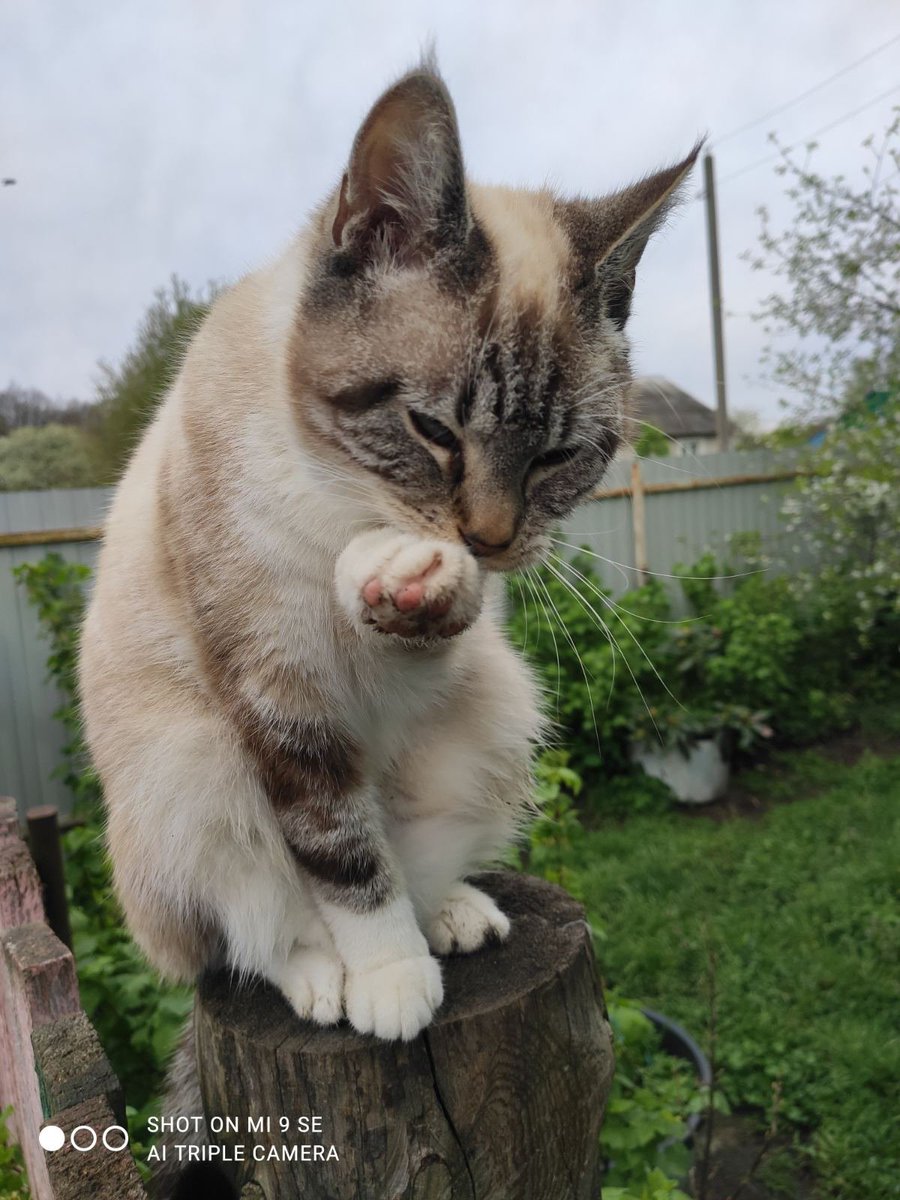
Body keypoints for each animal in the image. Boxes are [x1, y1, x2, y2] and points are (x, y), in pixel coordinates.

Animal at [77, 60, 700, 1046]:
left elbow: (415, 634)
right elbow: (343, 861)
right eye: (433, 431)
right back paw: (324, 979)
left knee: (416, 859)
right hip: (189, 768)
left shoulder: (423, 659)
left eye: (559, 456)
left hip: (496, 705)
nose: (489, 539)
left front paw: (410, 582)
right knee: (251, 931)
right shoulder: (279, 697)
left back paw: (454, 916)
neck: (347, 498)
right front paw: (391, 986)